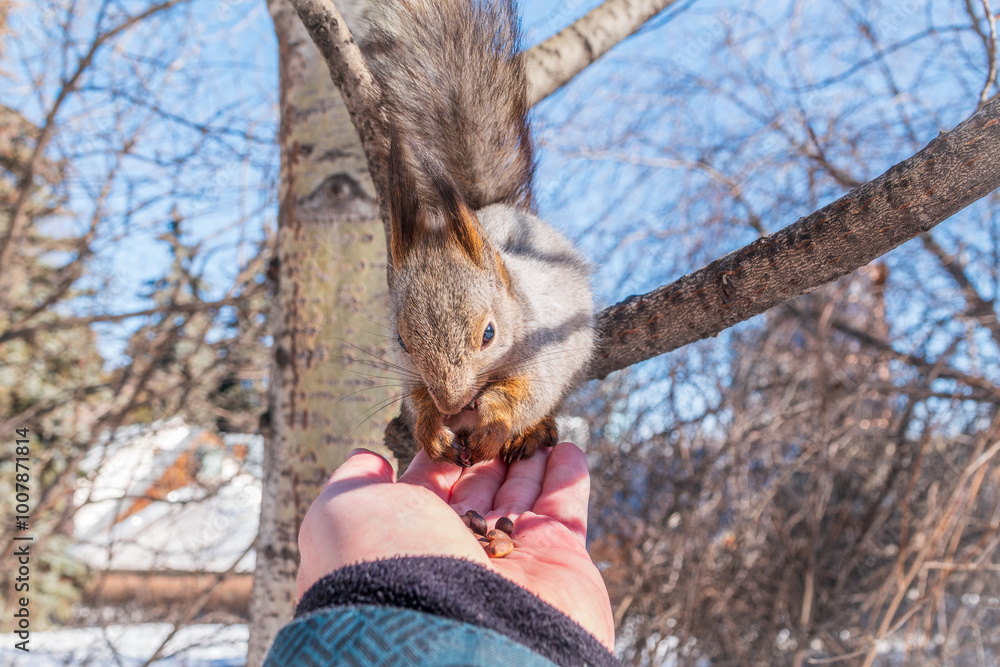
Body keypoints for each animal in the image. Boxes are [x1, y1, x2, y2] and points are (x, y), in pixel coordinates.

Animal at [359, 0, 594, 467]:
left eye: (489, 334)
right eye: (401, 341)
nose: (452, 404)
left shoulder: (547, 349)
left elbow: (524, 394)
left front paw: (494, 425)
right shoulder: (409, 374)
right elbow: (418, 398)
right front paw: (432, 429)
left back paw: (531, 433)